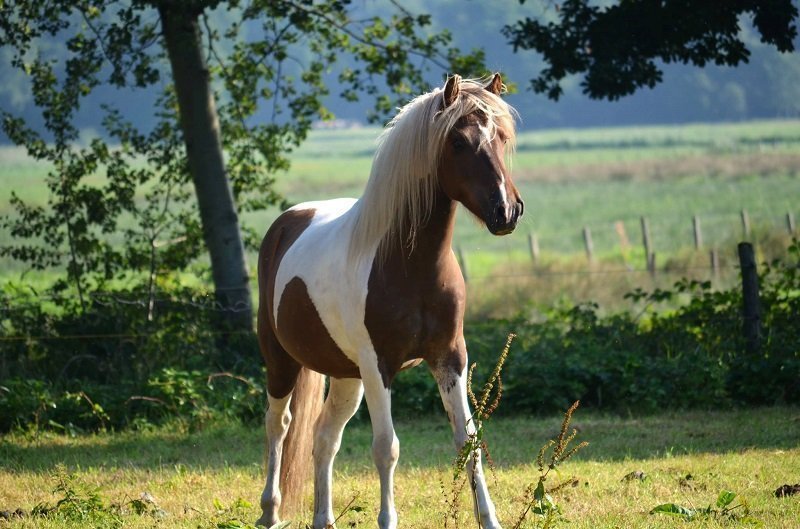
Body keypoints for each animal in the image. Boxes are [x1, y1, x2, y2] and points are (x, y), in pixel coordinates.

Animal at [255, 73, 523, 529]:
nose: (506, 211)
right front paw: (388, 518)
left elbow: (467, 442)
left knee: (324, 437)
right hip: (282, 361)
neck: (411, 266)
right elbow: (386, 447)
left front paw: (490, 519)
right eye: (458, 142)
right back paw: (270, 511)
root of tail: (286, 223)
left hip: (347, 376)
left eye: (501, 138)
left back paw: (323, 518)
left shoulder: (450, 357)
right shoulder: (379, 365)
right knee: (280, 425)